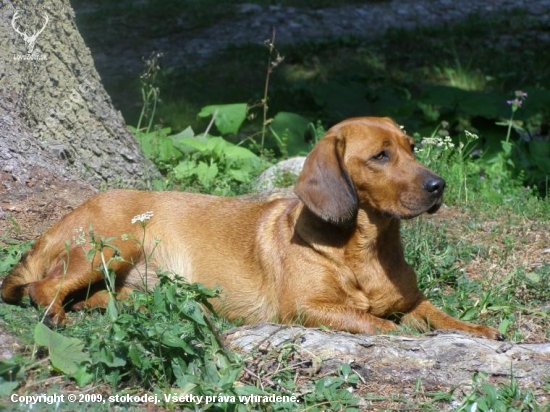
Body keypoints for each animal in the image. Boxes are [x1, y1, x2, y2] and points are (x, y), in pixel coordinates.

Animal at [1, 116, 504, 338]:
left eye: (411, 146)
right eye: (380, 155)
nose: (438, 186)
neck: (365, 248)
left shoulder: (412, 302)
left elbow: (442, 317)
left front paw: (478, 330)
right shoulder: (305, 309)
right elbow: (380, 324)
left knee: (95, 297)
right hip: (112, 247)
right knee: (42, 289)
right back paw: (55, 315)